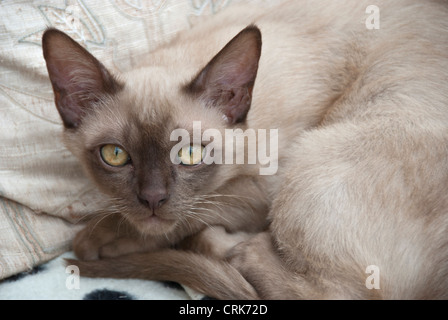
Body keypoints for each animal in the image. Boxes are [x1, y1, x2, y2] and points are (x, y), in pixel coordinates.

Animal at [42, 0, 448, 300]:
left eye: (190, 154)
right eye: (115, 155)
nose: (153, 199)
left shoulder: (267, 185)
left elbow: (196, 211)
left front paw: (97, 241)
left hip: (315, 158)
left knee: (329, 292)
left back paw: (238, 246)